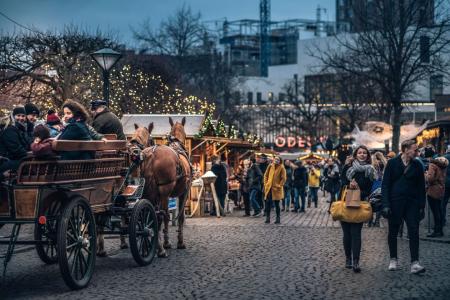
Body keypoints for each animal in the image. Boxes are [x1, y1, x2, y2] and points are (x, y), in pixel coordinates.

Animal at [134, 116, 190, 256]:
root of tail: (151, 154)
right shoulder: (184, 193)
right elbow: (179, 217)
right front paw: (179, 242)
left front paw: (166, 241)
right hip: (164, 192)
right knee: (160, 215)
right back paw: (160, 249)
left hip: (148, 192)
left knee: (151, 216)